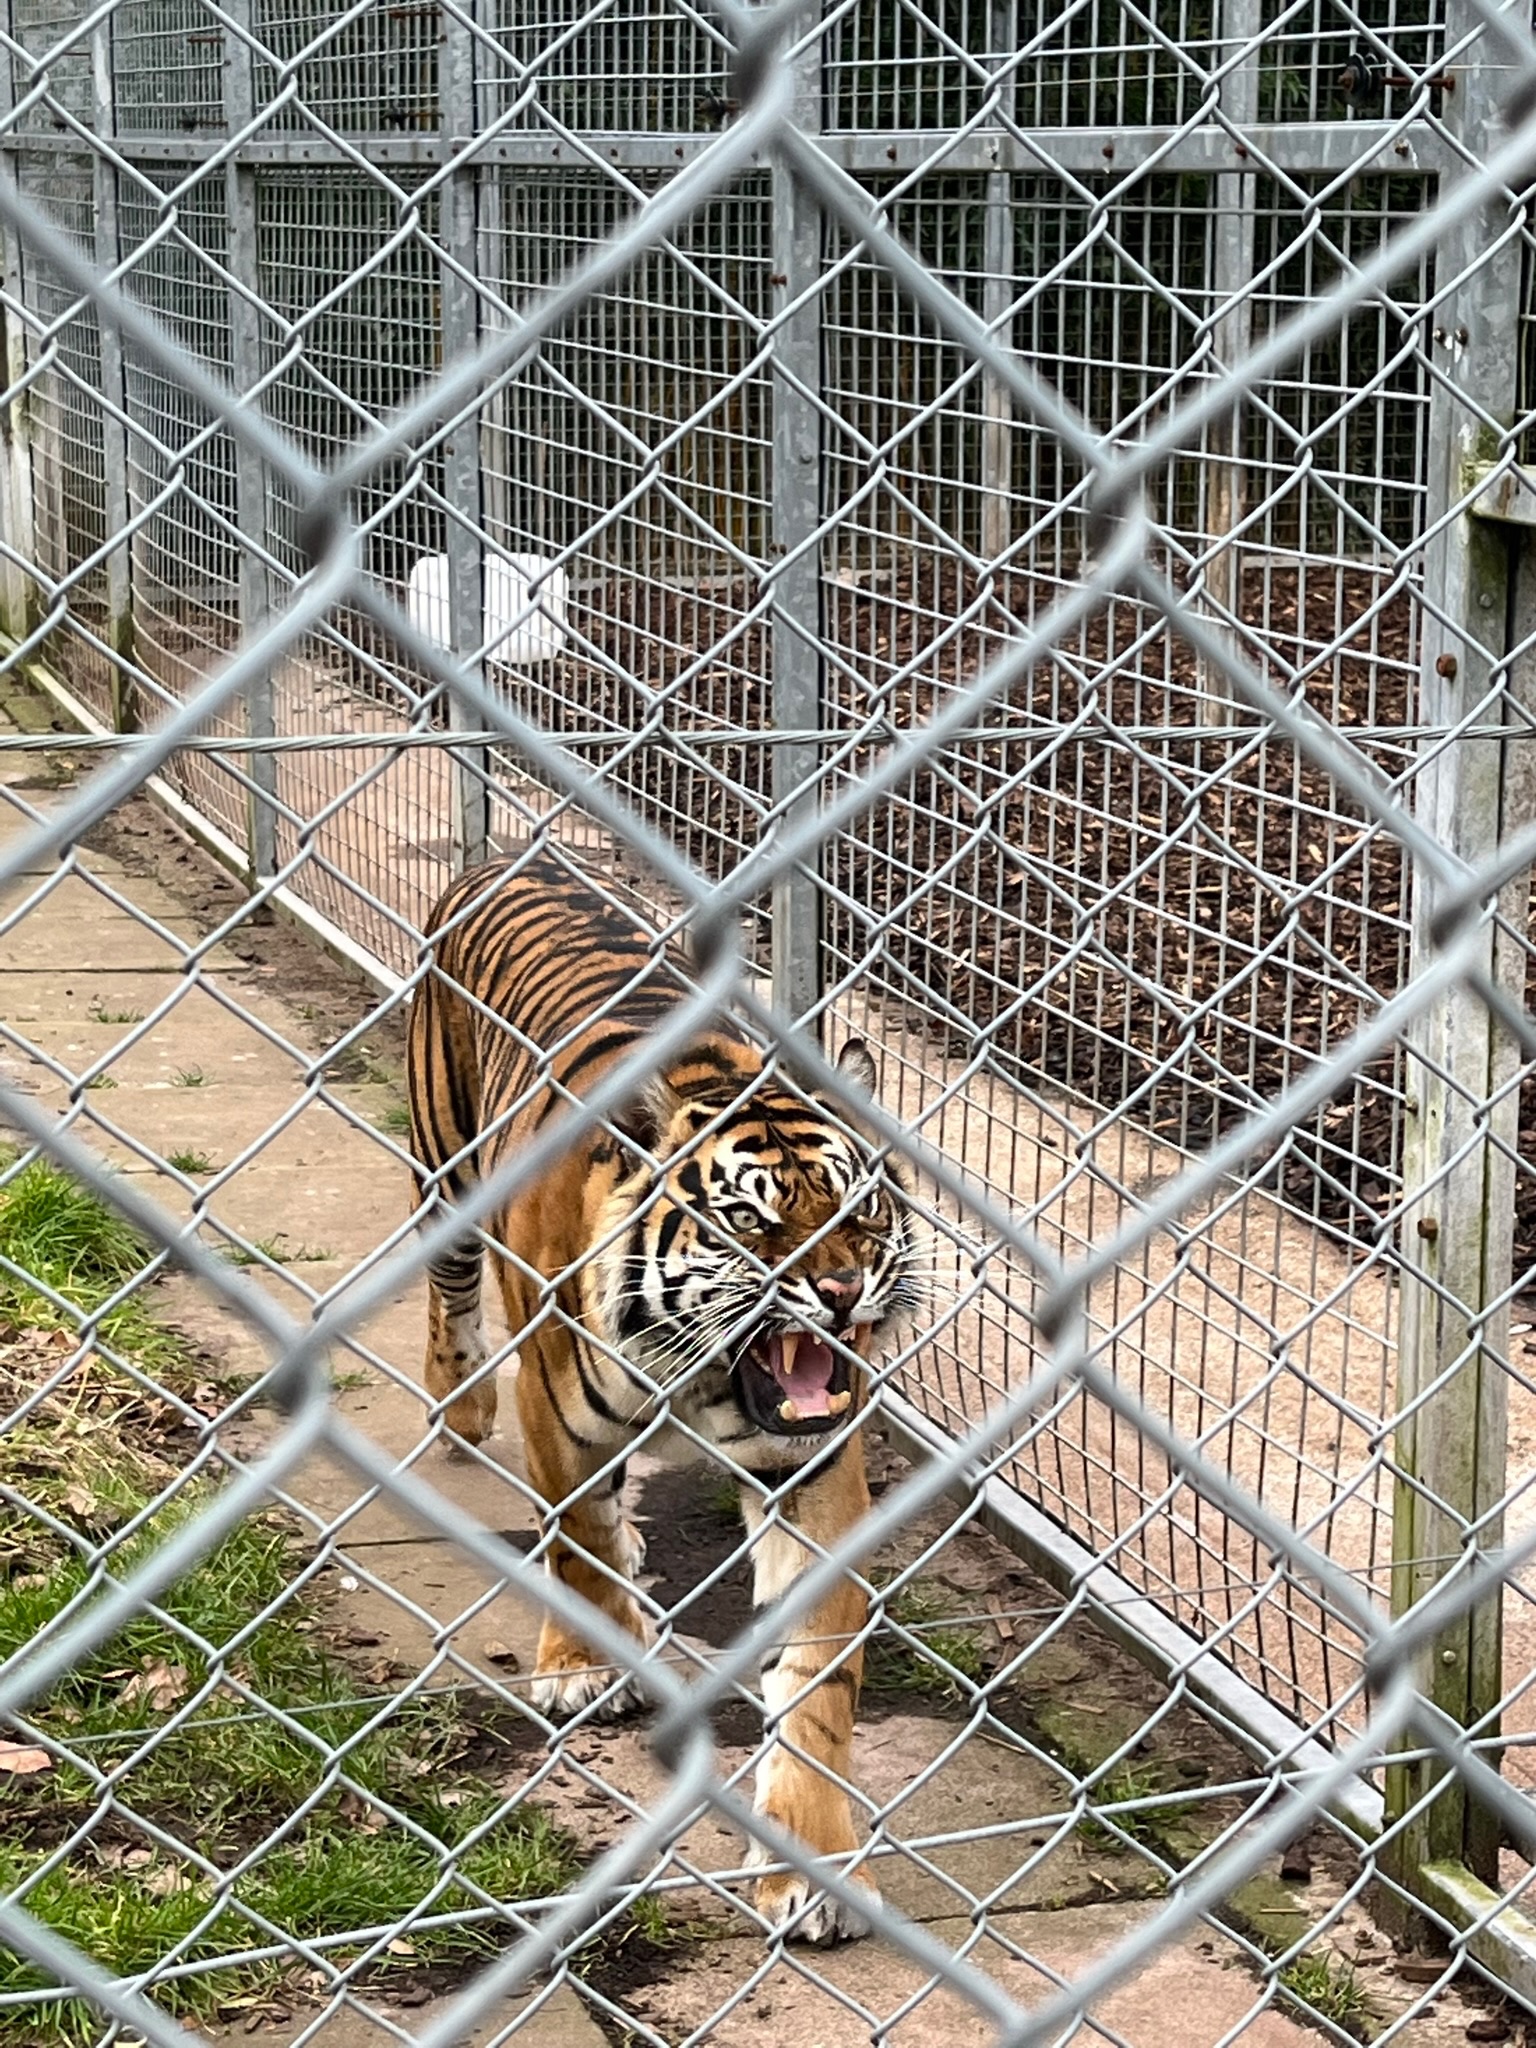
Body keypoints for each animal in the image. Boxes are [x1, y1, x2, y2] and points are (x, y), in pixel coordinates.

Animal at [406, 846, 919, 1946]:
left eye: (859, 1208)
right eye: (748, 1223)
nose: (841, 1291)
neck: (710, 1375)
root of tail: (502, 857)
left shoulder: (812, 1463)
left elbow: (816, 1677)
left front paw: (813, 1862)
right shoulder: (554, 1400)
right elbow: (577, 1543)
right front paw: (585, 1665)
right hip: (445, 1175)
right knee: (450, 1295)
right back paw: (459, 1409)